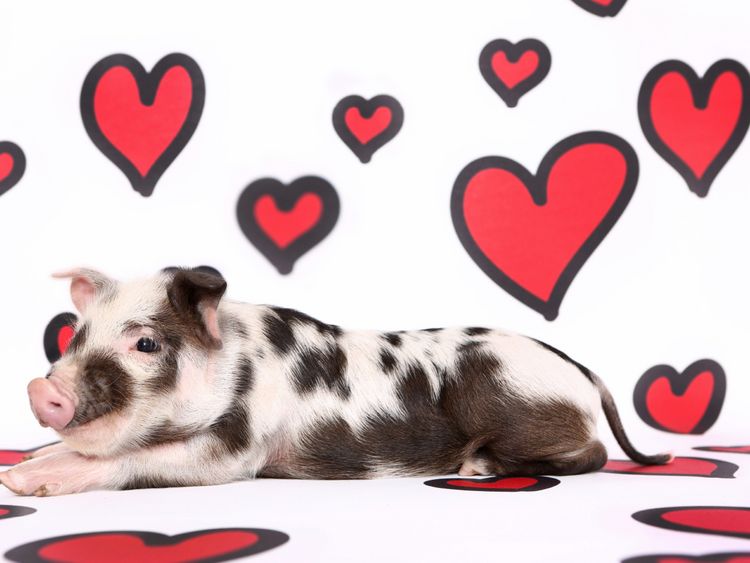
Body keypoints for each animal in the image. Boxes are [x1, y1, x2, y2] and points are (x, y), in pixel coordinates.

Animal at [0, 267, 670, 496]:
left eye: (146, 344)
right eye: (75, 334)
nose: (41, 389)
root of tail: (584, 372)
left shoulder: (238, 449)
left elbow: (135, 460)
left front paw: (29, 484)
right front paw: (21, 470)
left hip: (514, 399)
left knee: (595, 453)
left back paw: (477, 467)